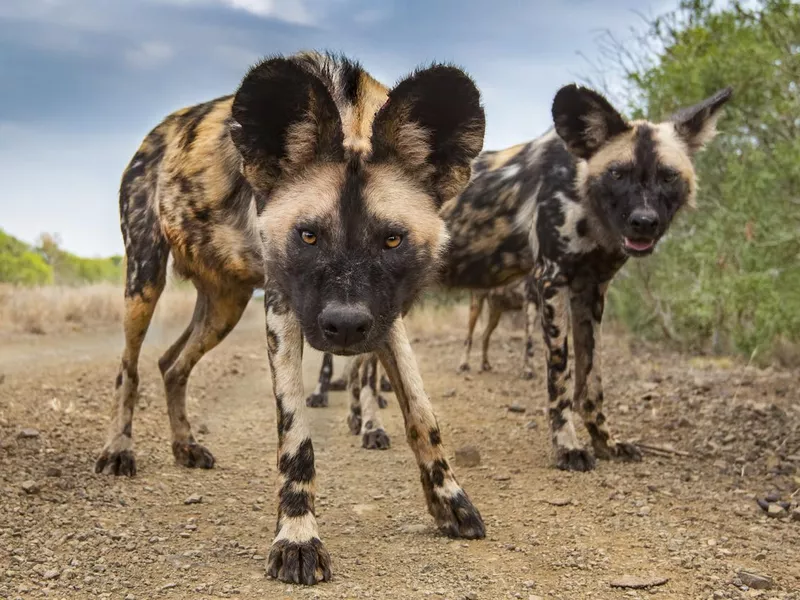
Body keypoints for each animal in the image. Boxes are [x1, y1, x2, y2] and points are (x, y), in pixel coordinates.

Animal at [97, 51, 490, 584]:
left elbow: (422, 414)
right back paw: (119, 450)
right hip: (144, 280)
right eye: (308, 236)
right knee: (130, 368)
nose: (344, 326)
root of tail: (157, 132)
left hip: (225, 305)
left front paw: (451, 503)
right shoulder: (283, 306)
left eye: (392, 240)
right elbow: (296, 438)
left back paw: (185, 447)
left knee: (172, 364)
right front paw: (298, 539)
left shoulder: (385, 316)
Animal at [440, 82, 736, 472]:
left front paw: (605, 442)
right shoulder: (551, 281)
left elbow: (592, 384)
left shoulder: (591, 291)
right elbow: (561, 379)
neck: (585, 199)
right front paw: (567, 447)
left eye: (668, 176)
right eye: (617, 174)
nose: (644, 222)